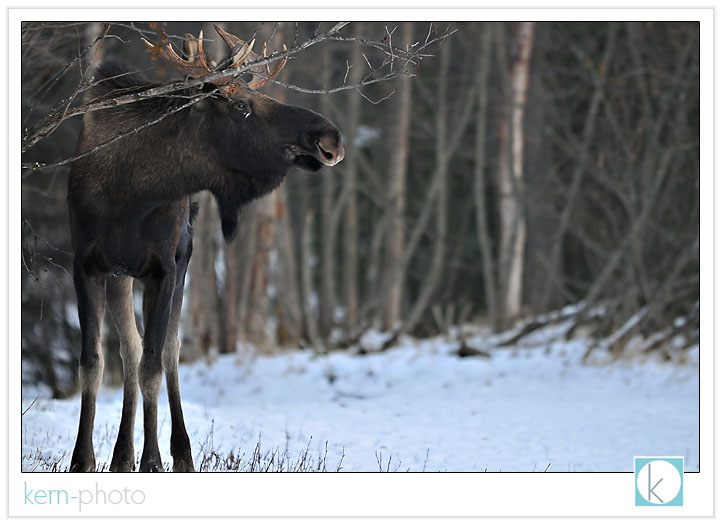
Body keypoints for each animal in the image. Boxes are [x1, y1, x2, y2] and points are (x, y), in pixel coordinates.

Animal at [65, 24, 344, 470]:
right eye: (242, 106)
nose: (330, 137)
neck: (129, 197)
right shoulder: (86, 263)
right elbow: (93, 362)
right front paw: (83, 460)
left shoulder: (164, 266)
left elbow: (154, 363)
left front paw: (154, 461)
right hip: (122, 276)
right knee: (130, 348)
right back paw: (122, 455)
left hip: (180, 263)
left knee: (168, 350)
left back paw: (180, 452)